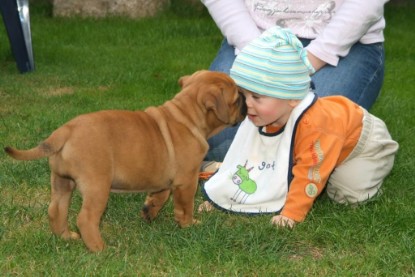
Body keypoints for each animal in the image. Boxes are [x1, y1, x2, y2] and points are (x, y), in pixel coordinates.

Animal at [4, 70, 247, 251]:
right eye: (236, 99)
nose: (246, 99)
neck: (187, 115)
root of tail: (66, 130)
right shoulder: (187, 180)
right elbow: (184, 206)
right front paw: (189, 225)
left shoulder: (163, 178)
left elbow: (159, 196)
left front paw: (149, 212)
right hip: (97, 186)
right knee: (86, 218)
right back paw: (100, 249)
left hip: (61, 182)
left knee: (56, 210)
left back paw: (66, 237)